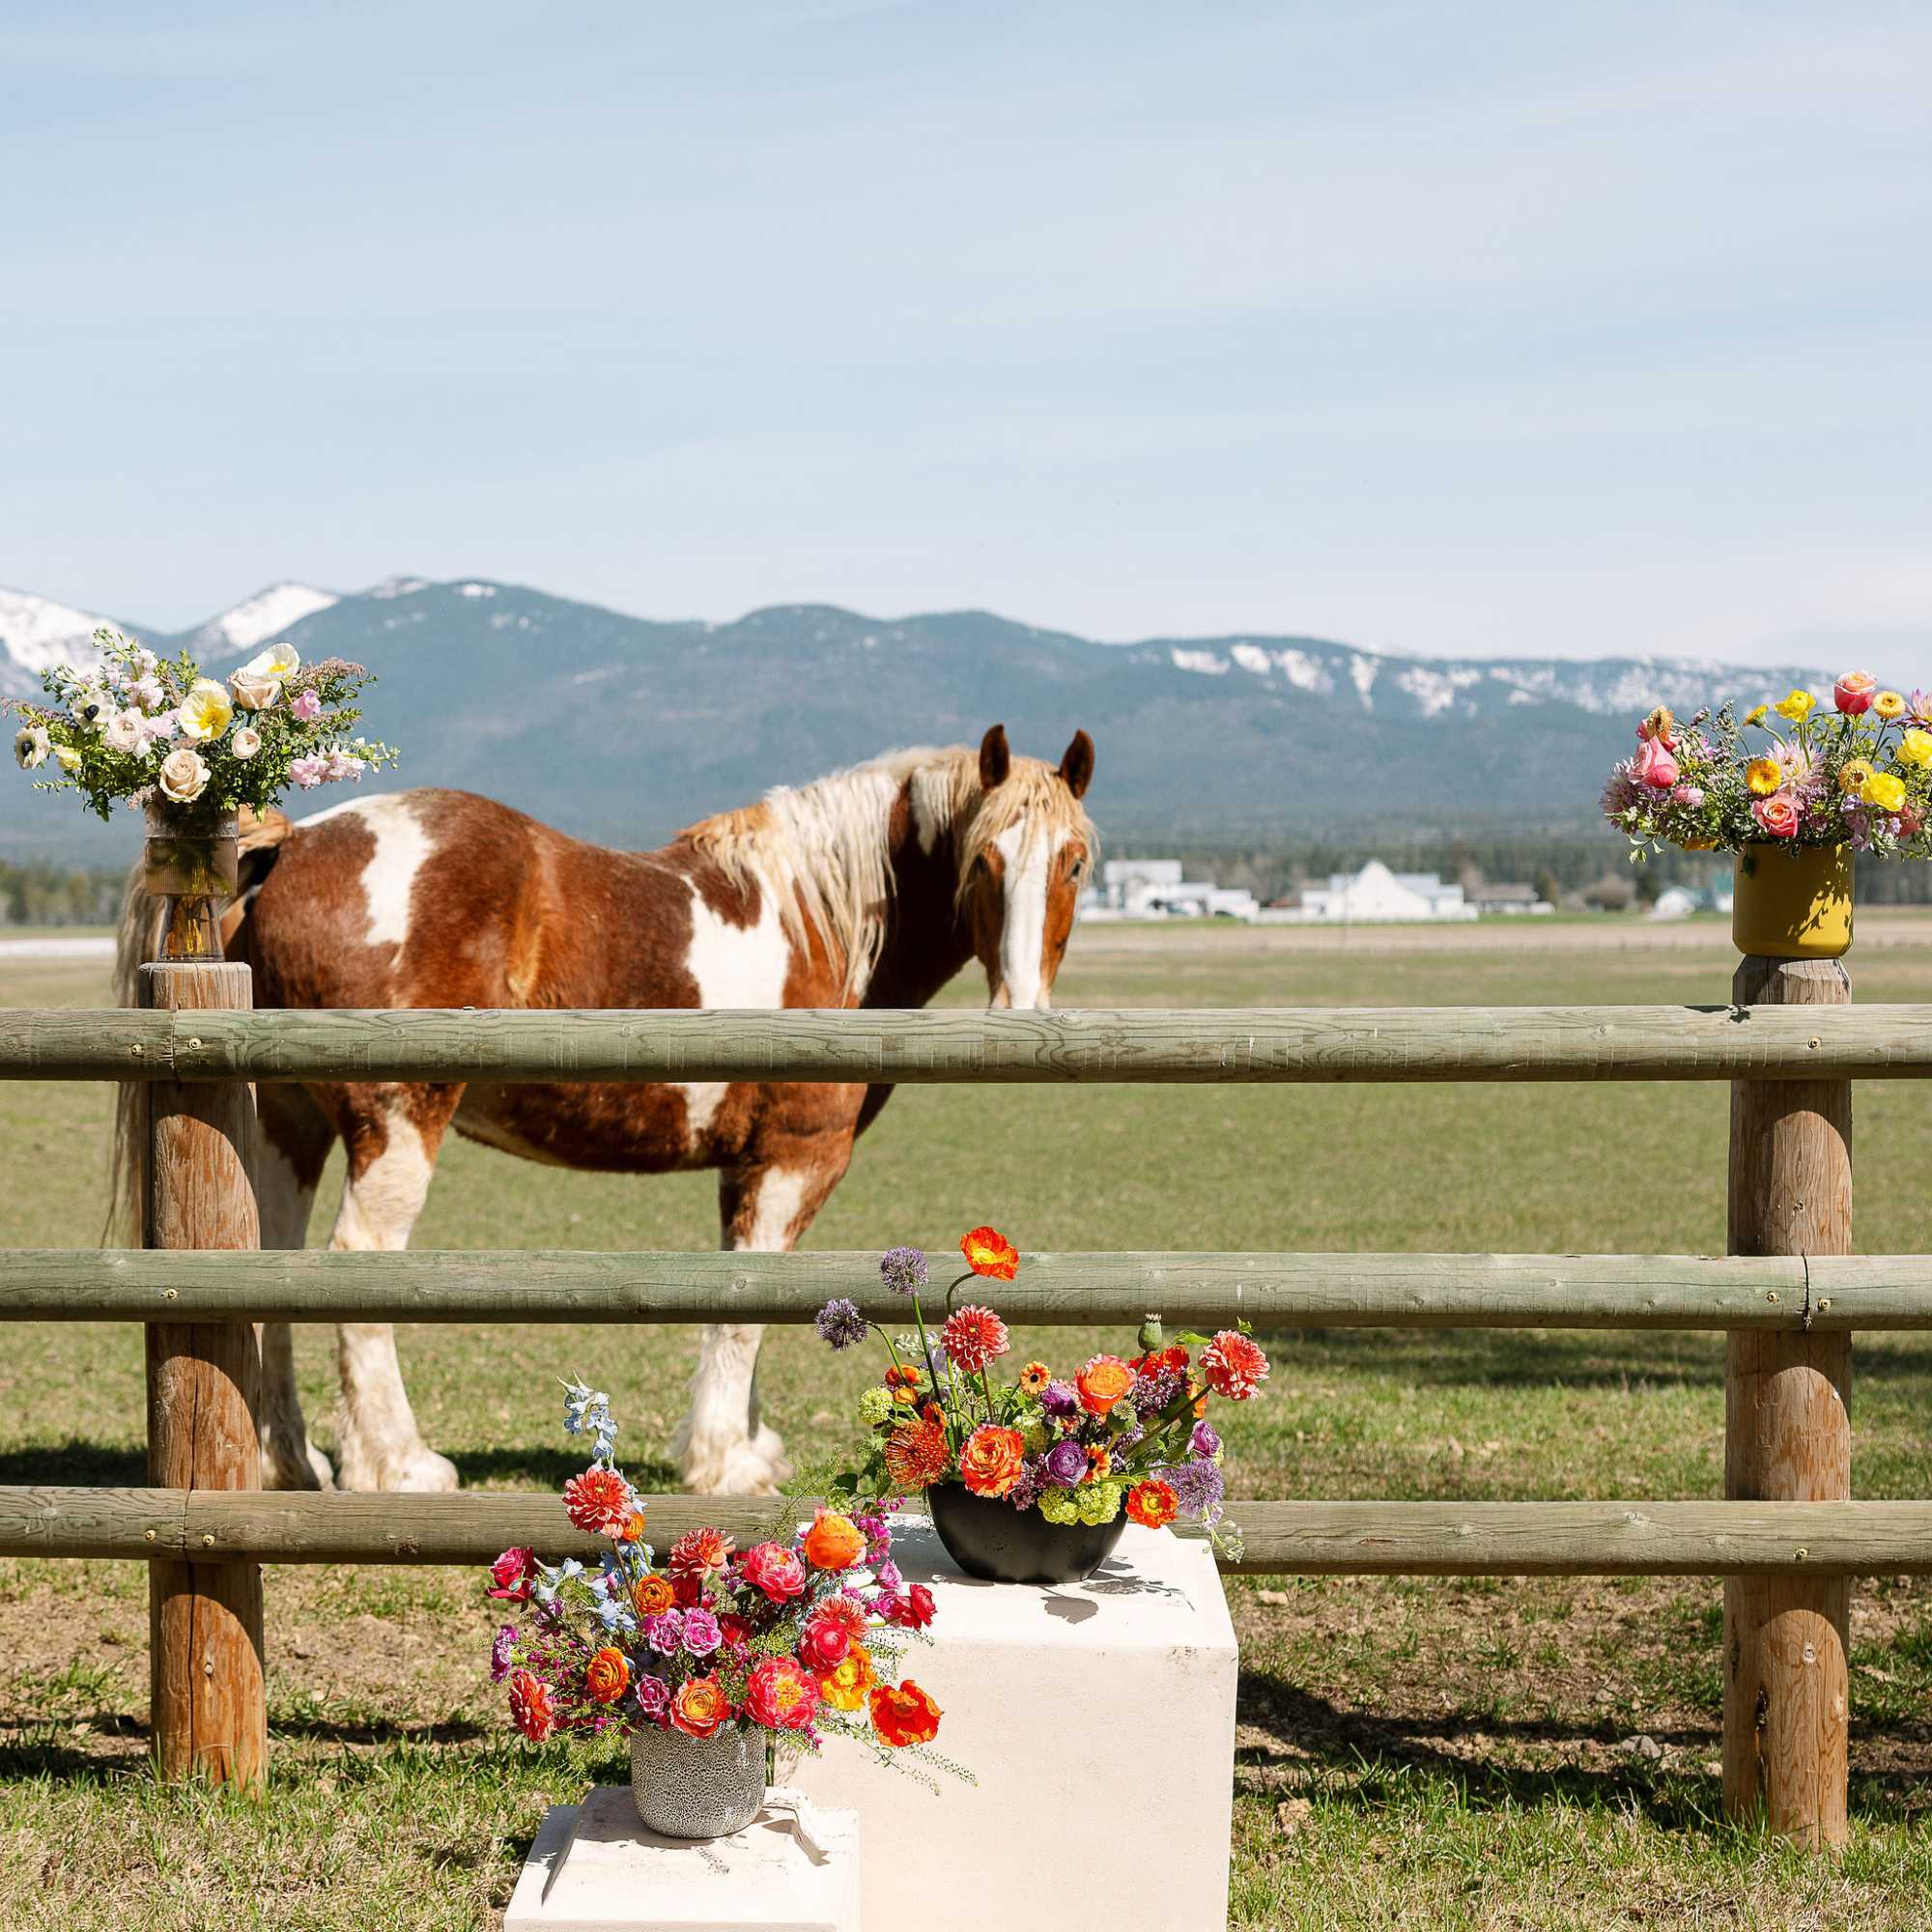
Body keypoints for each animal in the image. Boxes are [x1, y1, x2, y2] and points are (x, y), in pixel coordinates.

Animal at [112, 725, 1096, 1495]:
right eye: (984, 861)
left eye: (1076, 863)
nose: (1022, 1010)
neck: (819, 922)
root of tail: (295, 845)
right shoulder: (796, 1157)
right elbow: (746, 1304)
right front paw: (723, 1465)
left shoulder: (746, 1167)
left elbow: (746, 1296)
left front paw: (746, 1445)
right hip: (394, 1122)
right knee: (357, 1267)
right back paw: (398, 1465)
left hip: (292, 1123)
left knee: (276, 1270)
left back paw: (289, 1461)